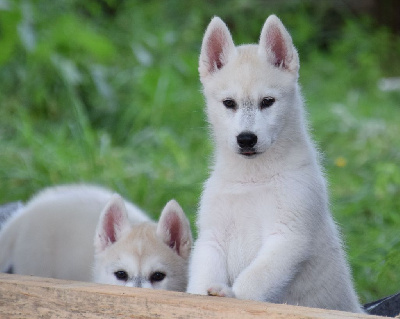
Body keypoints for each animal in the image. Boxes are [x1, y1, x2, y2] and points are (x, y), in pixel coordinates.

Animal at [186, 15, 364, 312]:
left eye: (267, 101)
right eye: (229, 103)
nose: (246, 139)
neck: (252, 178)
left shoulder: (287, 236)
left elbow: (253, 279)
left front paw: (230, 295)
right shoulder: (212, 237)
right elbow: (202, 277)